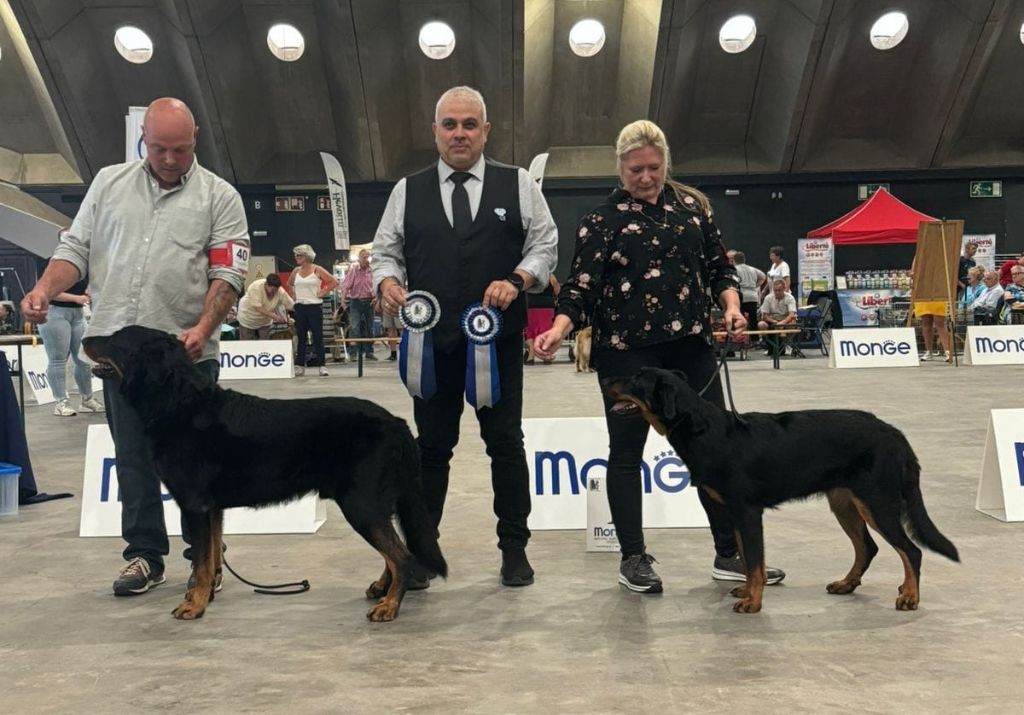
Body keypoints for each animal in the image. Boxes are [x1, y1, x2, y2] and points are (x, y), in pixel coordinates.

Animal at [82, 325, 444, 622]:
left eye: (114, 340)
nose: (85, 338)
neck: (179, 403)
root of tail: (396, 424)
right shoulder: (212, 509)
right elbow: (212, 555)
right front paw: (205, 596)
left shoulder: (195, 505)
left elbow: (201, 561)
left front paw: (194, 605)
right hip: (374, 503)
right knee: (396, 551)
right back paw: (382, 590)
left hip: (361, 502)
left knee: (401, 556)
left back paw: (390, 606)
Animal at [602, 366, 954, 614]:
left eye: (636, 379)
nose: (605, 380)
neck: (703, 430)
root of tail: (895, 434)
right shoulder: (735, 513)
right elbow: (747, 559)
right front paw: (747, 591)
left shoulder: (747, 511)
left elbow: (756, 562)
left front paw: (753, 602)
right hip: (844, 502)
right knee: (868, 547)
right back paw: (847, 583)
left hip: (876, 502)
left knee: (911, 551)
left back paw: (910, 597)